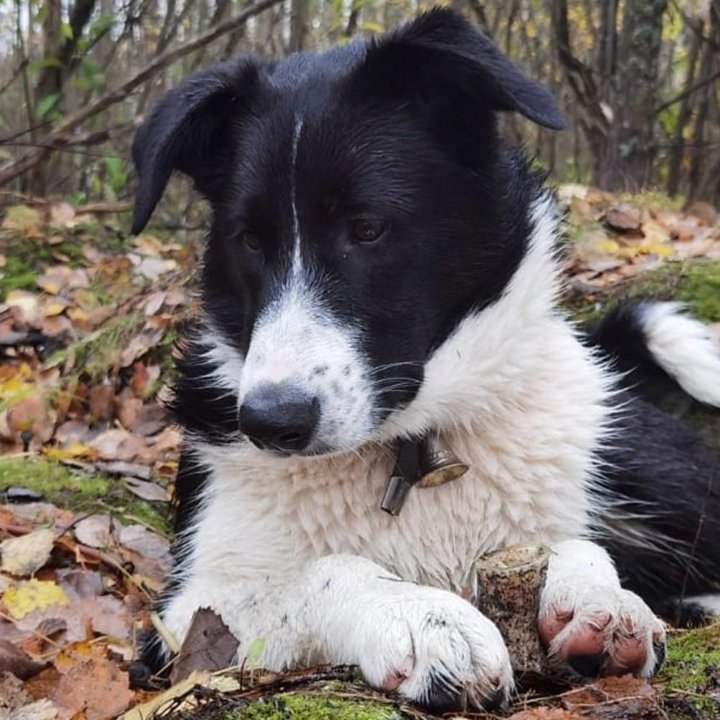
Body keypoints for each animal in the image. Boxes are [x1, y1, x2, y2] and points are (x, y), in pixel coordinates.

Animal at [129, 9, 720, 708]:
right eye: (249, 240)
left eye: (367, 229)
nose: (271, 423)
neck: (415, 453)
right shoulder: (181, 620)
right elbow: (323, 569)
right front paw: (419, 616)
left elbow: (578, 545)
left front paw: (597, 595)